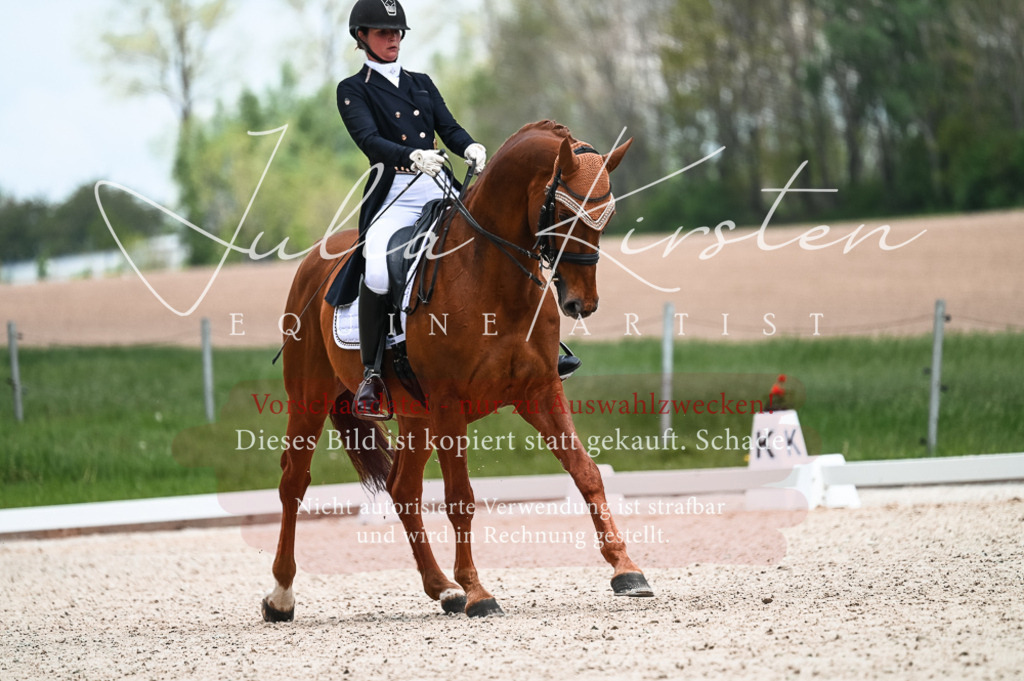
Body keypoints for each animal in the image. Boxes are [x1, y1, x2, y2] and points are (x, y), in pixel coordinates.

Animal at [262, 120, 652, 621]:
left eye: (607, 214)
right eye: (564, 213)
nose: (581, 304)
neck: (493, 279)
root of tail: (316, 258)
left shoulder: (539, 391)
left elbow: (586, 472)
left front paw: (627, 569)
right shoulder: (450, 403)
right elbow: (460, 498)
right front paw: (479, 592)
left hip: (415, 414)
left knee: (403, 488)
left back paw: (442, 588)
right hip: (310, 398)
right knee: (294, 480)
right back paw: (281, 596)